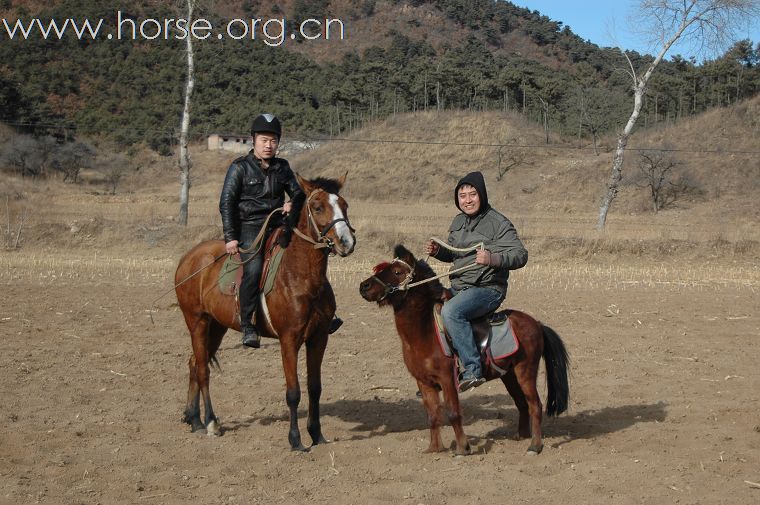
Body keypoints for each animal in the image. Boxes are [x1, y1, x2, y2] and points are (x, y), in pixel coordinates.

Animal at [176, 172, 356, 448]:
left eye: (344, 205)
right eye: (317, 207)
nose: (346, 242)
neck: (301, 276)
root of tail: (188, 259)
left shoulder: (318, 338)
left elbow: (315, 388)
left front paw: (316, 435)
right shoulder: (289, 339)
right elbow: (293, 392)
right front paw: (295, 440)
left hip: (216, 326)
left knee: (195, 362)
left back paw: (194, 419)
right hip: (197, 321)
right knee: (203, 369)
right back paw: (211, 423)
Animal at [360, 242, 568, 454]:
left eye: (397, 271)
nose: (364, 286)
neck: (424, 331)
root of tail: (537, 324)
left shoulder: (447, 380)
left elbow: (452, 413)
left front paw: (462, 448)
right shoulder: (424, 383)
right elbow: (432, 416)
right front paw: (434, 448)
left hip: (525, 372)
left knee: (535, 405)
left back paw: (535, 445)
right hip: (509, 375)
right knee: (522, 403)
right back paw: (522, 436)